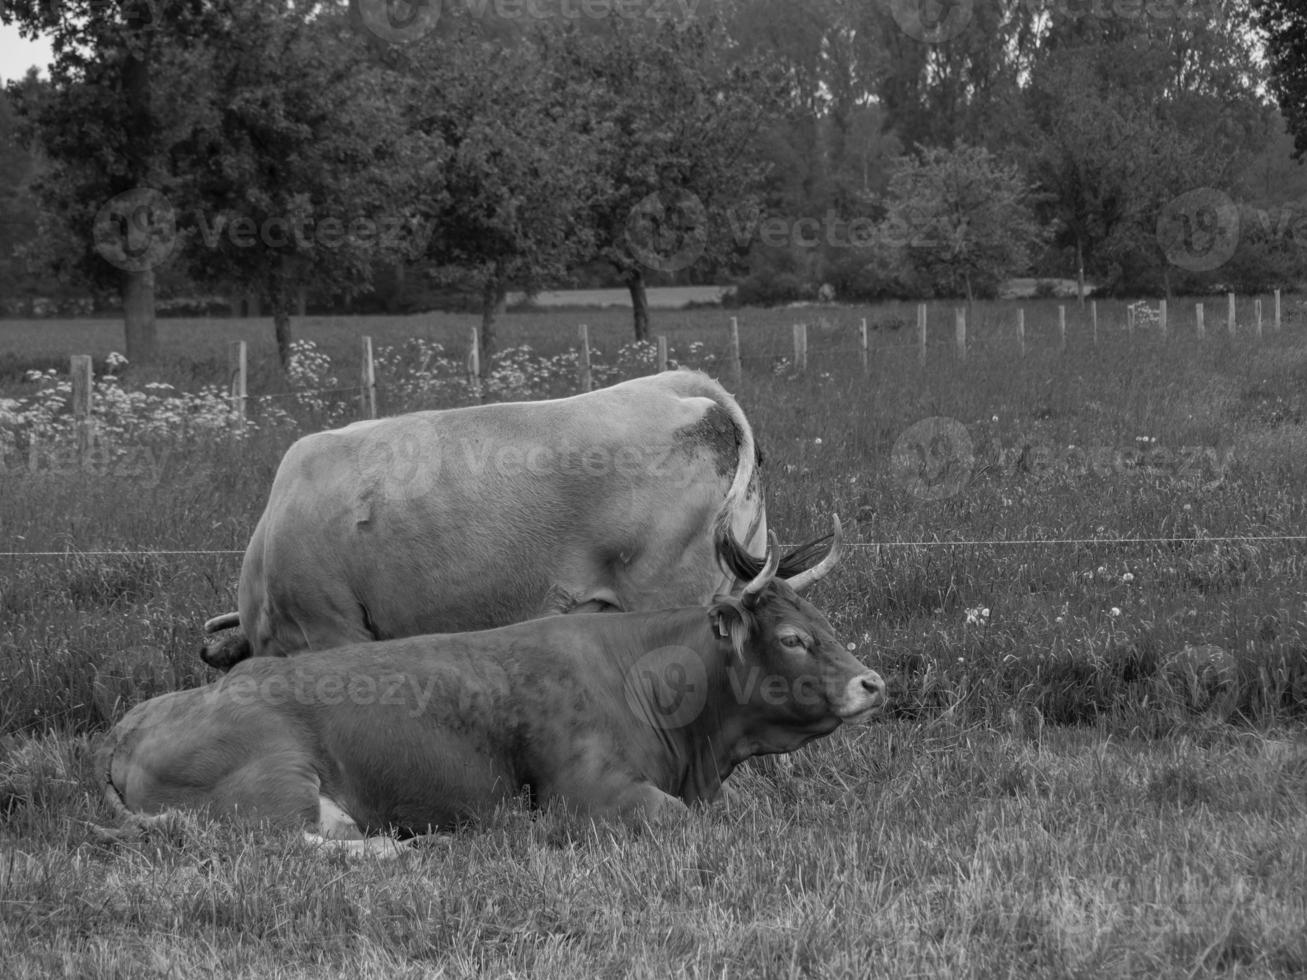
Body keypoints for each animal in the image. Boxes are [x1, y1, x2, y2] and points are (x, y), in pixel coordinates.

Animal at [101, 522, 883, 851]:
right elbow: (686, 822)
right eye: (792, 637)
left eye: (824, 621)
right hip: (275, 783)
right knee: (287, 845)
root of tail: (129, 728)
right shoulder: (588, 795)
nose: (872, 683)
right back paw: (402, 847)